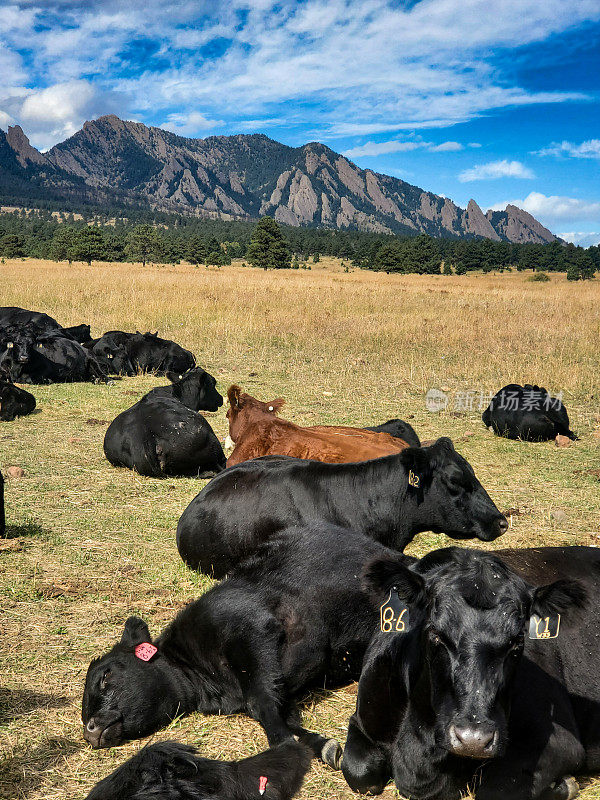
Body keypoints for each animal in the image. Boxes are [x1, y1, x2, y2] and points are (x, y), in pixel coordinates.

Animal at [84, 524, 392, 768]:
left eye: (105, 676)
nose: (89, 730)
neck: (208, 683)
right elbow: (278, 712)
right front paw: (321, 746)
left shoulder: (249, 629)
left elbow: (261, 701)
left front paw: (284, 743)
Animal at [340, 544, 596, 800]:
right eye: (436, 633)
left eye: (517, 641)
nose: (474, 739)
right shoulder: (362, 720)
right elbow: (359, 773)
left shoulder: (560, 742)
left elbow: (496, 791)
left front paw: (564, 786)